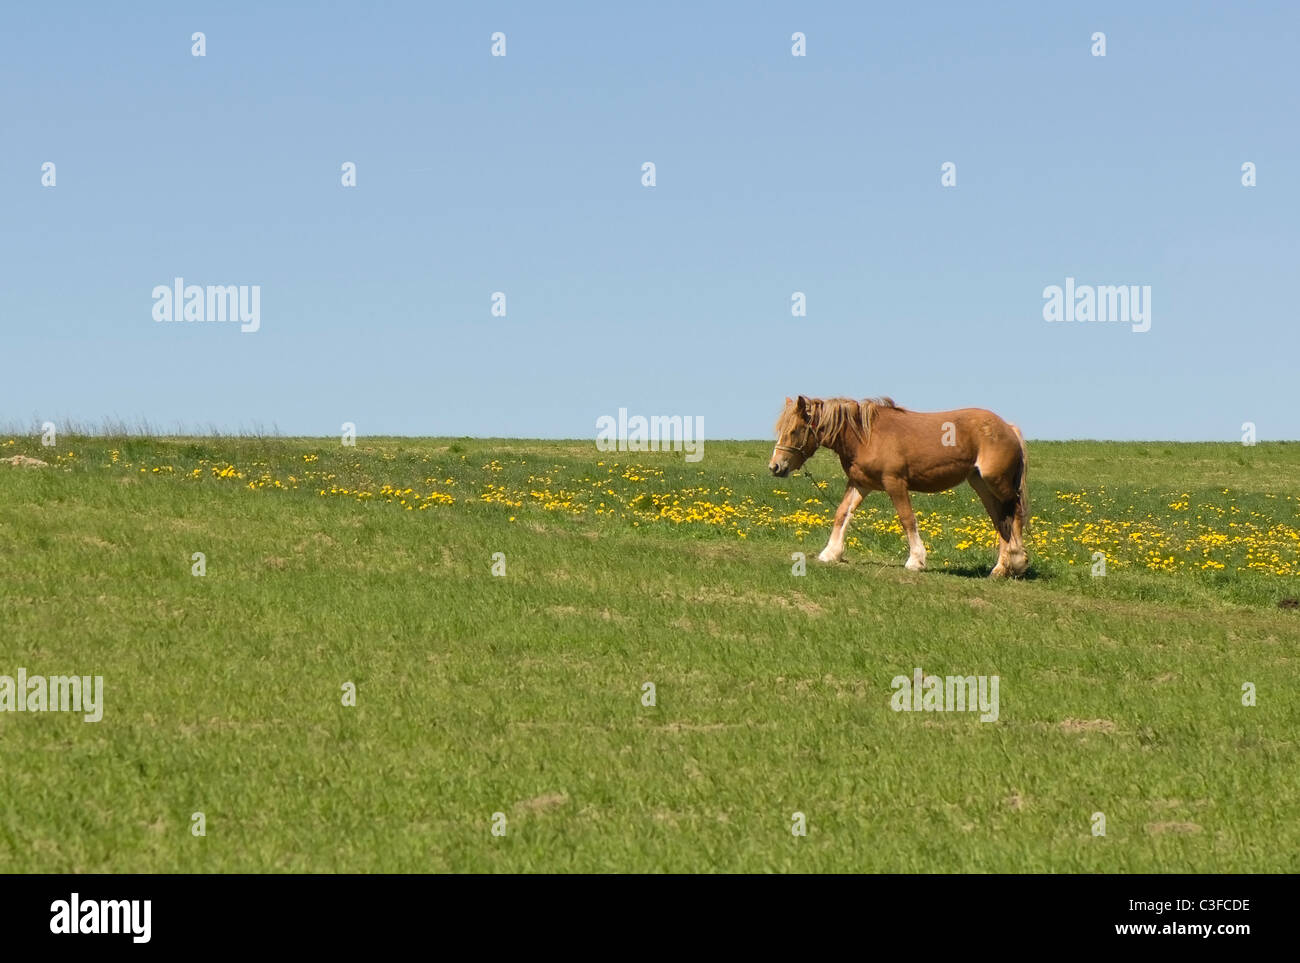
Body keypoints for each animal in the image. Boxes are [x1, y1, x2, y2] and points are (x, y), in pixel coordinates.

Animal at [769, 396, 1029, 577]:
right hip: (982, 485)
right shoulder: (860, 483)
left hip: (996, 482)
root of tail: (1008, 427)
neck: (865, 436)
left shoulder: (895, 483)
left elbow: (907, 519)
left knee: (1014, 513)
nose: (775, 466)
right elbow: (842, 513)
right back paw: (1000, 569)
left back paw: (1017, 562)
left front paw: (916, 560)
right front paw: (831, 553)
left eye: (794, 431)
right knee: (1001, 520)